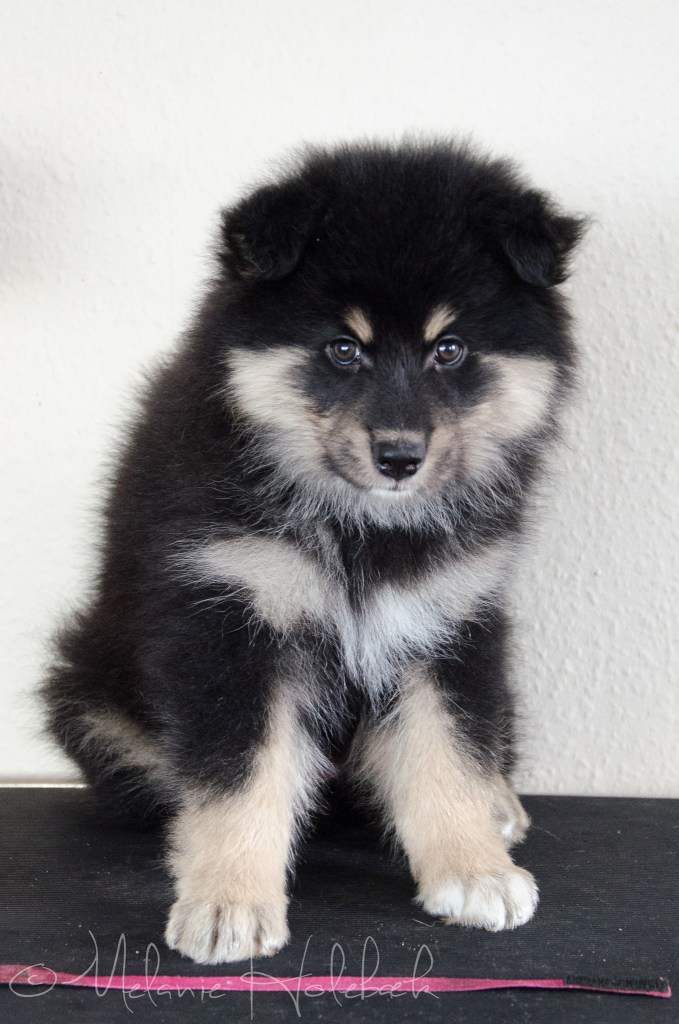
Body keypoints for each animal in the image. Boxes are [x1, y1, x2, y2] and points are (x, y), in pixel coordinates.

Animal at [42, 139, 585, 964]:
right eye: (342, 349)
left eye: (449, 349)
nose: (399, 457)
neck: (357, 527)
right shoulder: (231, 618)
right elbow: (242, 773)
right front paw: (228, 902)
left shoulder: (445, 619)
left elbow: (448, 749)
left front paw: (472, 869)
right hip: (90, 696)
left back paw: (497, 805)